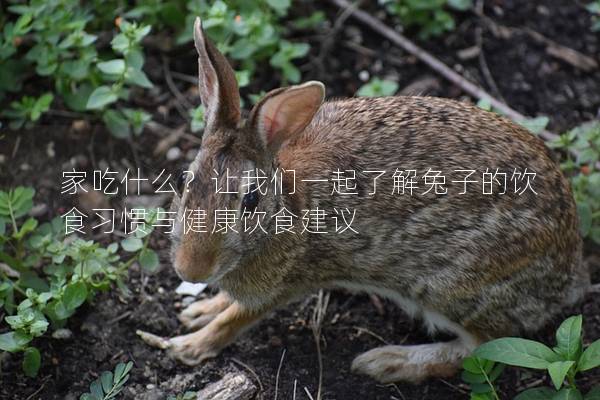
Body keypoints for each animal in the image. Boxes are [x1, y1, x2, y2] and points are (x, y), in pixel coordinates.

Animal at [137, 16, 592, 384]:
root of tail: (567, 273)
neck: (287, 210)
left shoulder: (287, 283)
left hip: (453, 285)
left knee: (482, 347)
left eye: (250, 200)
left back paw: (387, 362)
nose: (191, 269)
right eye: (184, 181)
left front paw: (187, 346)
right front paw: (197, 311)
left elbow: (236, 318)